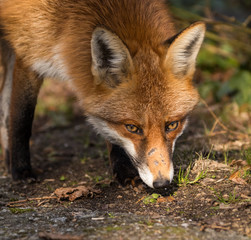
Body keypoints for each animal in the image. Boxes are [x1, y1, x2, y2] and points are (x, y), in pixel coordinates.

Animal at [0, 0, 204, 188]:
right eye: (132, 127)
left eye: (172, 125)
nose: (161, 183)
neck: (64, 19)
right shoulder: (26, 54)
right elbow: (21, 120)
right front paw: (21, 171)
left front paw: (123, 171)